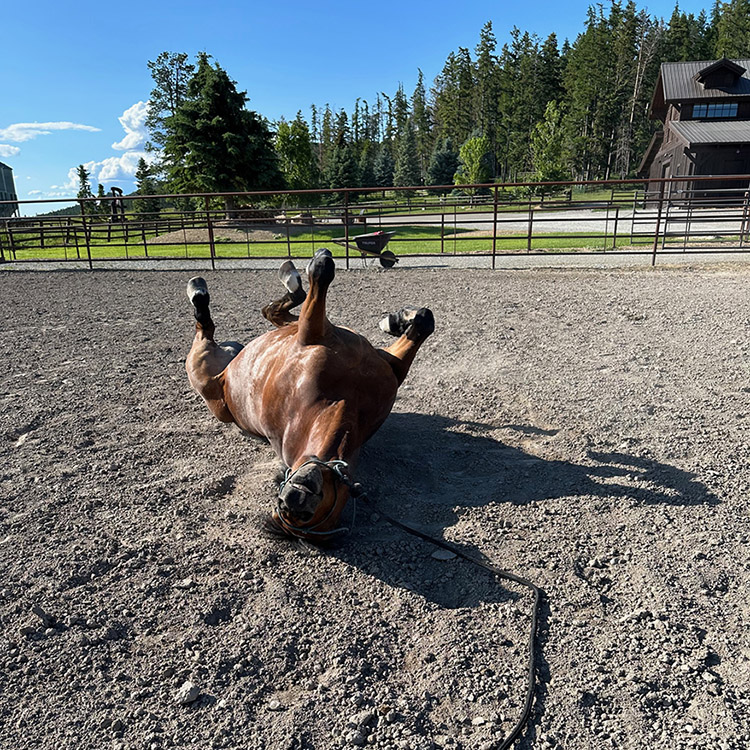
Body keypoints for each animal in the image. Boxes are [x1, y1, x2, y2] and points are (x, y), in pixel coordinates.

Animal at [184, 250, 438, 544]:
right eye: (288, 511)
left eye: (305, 516)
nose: (293, 498)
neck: (344, 402)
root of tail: (225, 372)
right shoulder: (311, 332)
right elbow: (322, 276)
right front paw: (320, 260)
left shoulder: (389, 365)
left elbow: (425, 322)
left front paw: (401, 320)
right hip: (203, 375)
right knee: (215, 329)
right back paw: (202, 290)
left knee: (270, 313)